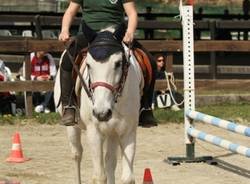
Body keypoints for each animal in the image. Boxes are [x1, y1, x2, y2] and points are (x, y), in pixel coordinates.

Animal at [54, 24, 144, 184]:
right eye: (89, 65)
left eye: (118, 63)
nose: (102, 113)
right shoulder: (94, 132)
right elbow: (100, 177)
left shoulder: (128, 131)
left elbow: (127, 177)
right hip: (72, 128)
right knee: (77, 154)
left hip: (112, 133)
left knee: (110, 161)